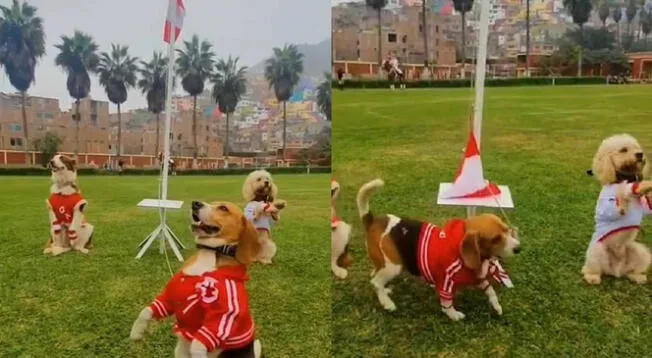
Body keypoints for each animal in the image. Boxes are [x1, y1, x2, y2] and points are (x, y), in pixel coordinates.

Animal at [131, 200, 264, 356]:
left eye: (223, 208)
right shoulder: (170, 296)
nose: (195, 203)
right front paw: (136, 331)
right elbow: (145, 311)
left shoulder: (222, 315)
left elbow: (198, 343)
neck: (209, 253)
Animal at [356, 179, 520, 322]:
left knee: (374, 276)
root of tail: (373, 221)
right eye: (495, 239)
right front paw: (453, 315)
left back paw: (385, 291)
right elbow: (447, 303)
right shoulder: (447, 283)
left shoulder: (476, 277)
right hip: (393, 266)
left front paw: (496, 305)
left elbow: (490, 290)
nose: (518, 248)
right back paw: (387, 302)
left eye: (507, 230)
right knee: (375, 282)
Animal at [584, 134, 652, 286]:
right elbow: (621, 194)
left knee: (631, 270)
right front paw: (639, 187)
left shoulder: (645, 207)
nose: (640, 154)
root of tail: (616, 269)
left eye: (637, 148)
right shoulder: (605, 206)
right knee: (590, 269)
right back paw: (592, 277)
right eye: (623, 150)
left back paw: (636, 276)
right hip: (597, 250)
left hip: (638, 250)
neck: (622, 177)